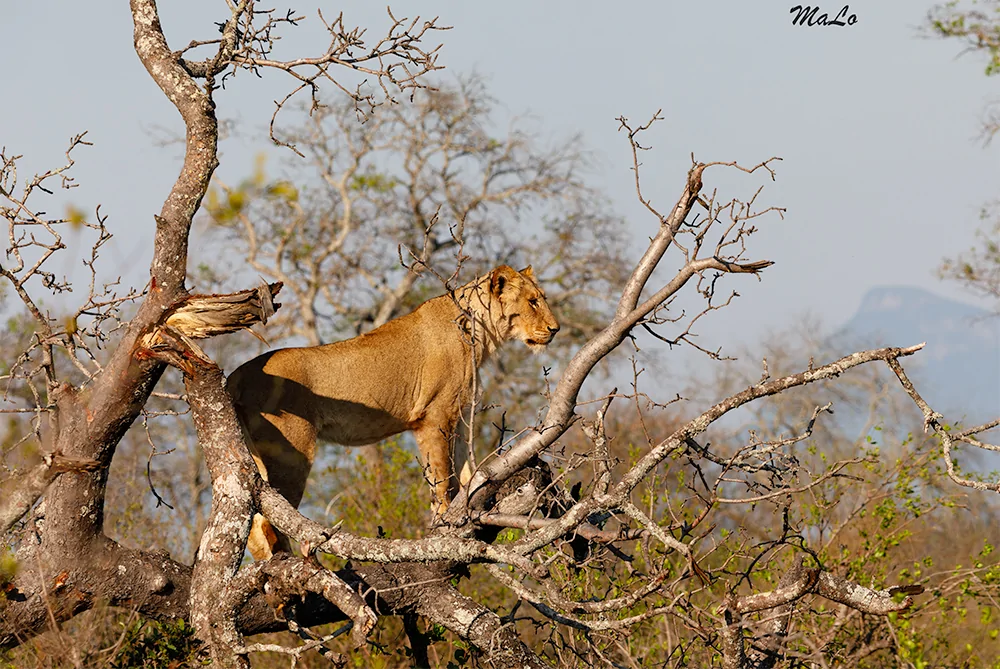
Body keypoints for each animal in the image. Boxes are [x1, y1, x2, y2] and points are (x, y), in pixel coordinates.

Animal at [226, 265, 560, 560]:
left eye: (541, 297)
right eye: (532, 301)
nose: (555, 330)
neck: (481, 336)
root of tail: (235, 375)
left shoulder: (460, 415)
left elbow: (466, 472)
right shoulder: (434, 416)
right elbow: (442, 477)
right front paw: (443, 524)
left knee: (256, 525)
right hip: (291, 454)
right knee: (269, 521)